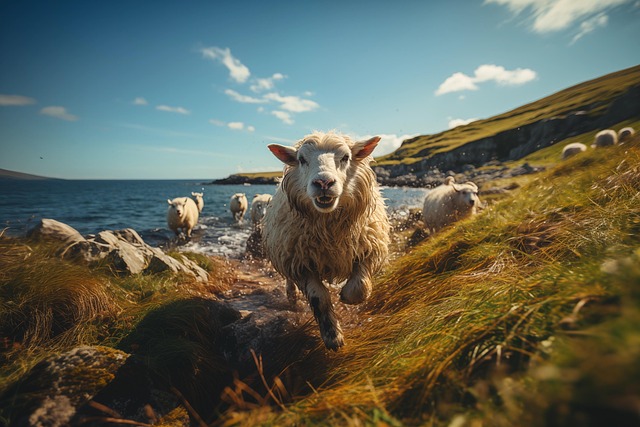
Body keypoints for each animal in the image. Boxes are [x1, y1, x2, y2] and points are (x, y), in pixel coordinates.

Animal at [262, 131, 390, 350]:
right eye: (301, 159)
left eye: (346, 157)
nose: (323, 183)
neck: (329, 230)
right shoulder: (301, 264)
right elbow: (318, 299)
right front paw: (332, 336)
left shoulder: (370, 248)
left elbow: (360, 288)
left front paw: (346, 297)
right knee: (289, 281)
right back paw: (291, 296)